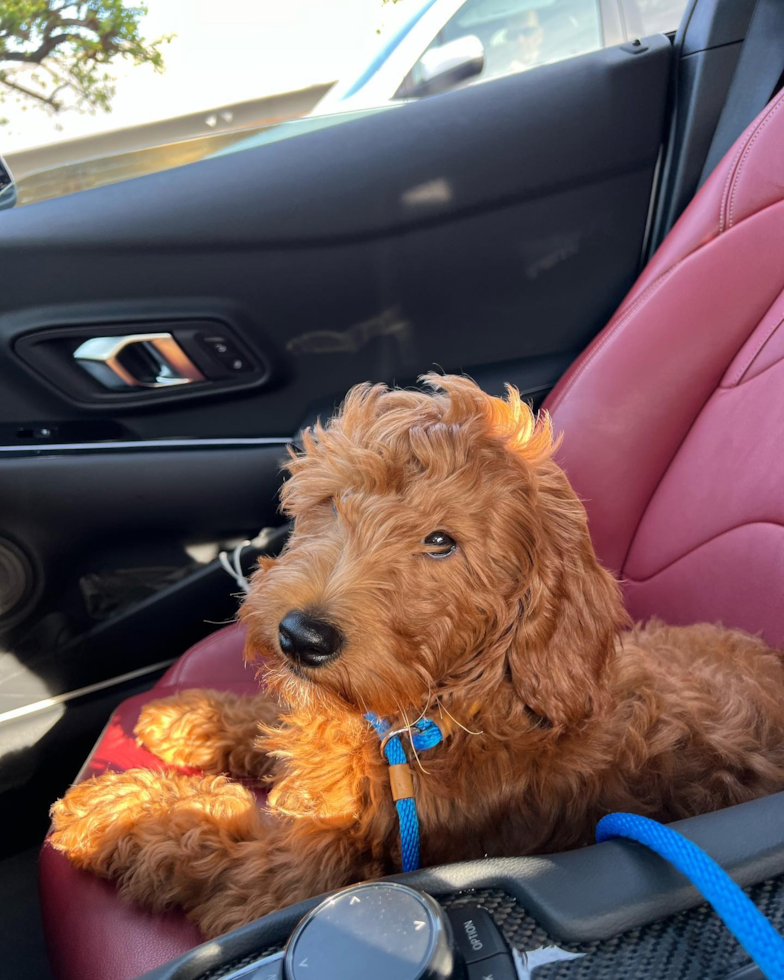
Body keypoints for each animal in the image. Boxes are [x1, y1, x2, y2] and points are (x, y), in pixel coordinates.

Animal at [49, 372, 784, 936]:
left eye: (441, 542)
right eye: (334, 501)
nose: (301, 637)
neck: (440, 714)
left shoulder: (295, 876)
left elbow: (206, 836)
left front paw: (115, 808)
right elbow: (277, 718)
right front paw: (189, 717)